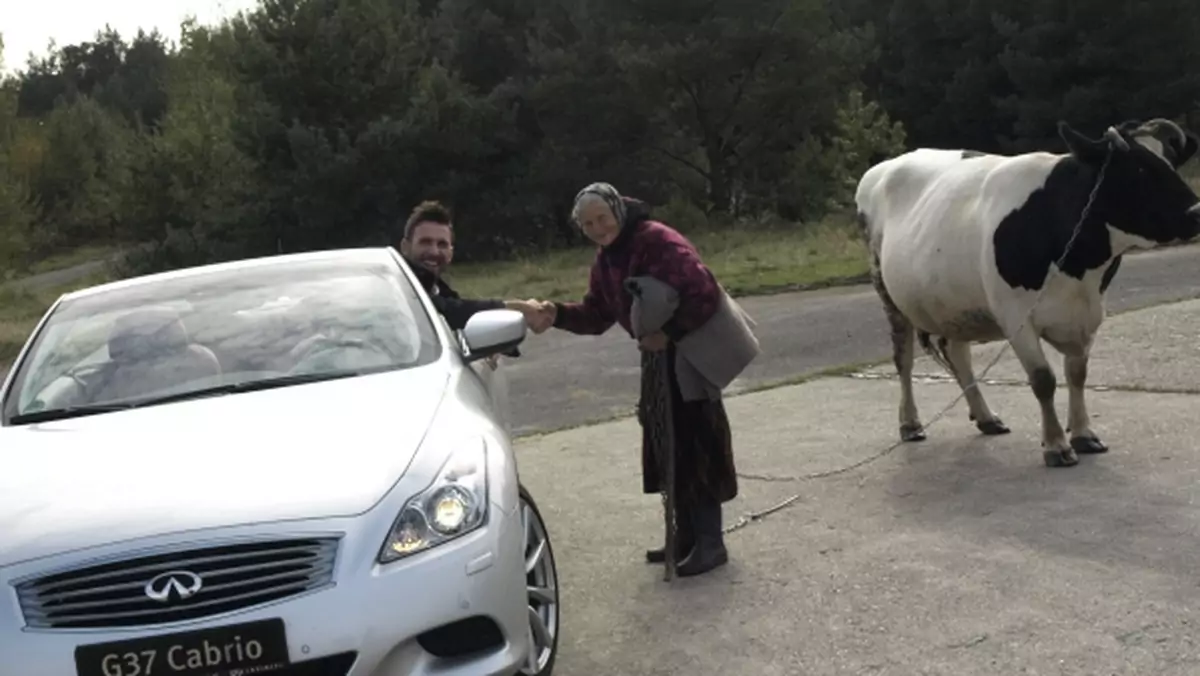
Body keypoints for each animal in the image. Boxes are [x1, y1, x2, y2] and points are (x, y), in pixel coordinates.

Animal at [854, 118, 1200, 468]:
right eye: (1139, 169)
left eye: (1172, 162)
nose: (1197, 212)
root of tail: (885, 166)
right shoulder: (1015, 317)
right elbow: (1043, 380)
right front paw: (1057, 445)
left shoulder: (1088, 314)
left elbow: (1077, 375)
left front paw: (1084, 434)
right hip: (887, 292)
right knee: (904, 360)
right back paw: (910, 424)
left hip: (954, 302)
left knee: (957, 352)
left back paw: (986, 417)